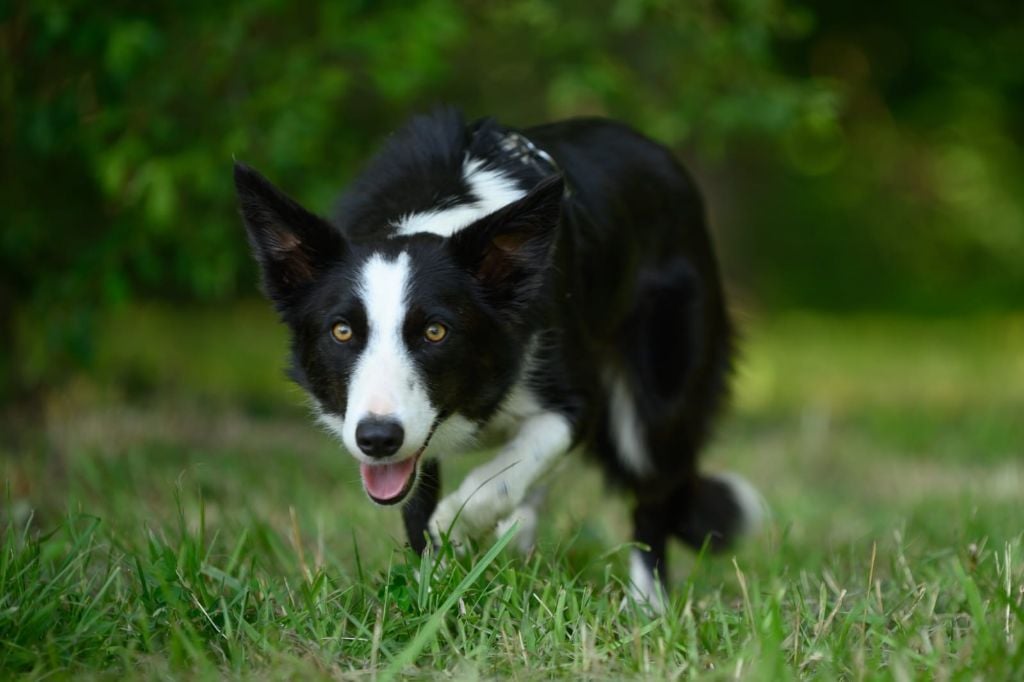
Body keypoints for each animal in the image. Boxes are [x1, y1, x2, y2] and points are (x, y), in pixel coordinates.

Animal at [232, 109, 761, 606]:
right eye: (342, 331)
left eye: (436, 331)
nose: (377, 439)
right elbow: (423, 503)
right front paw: (434, 599)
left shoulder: (576, 402)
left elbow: (506, 474)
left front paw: (458, 524)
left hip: (660, 389)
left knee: (650, 497)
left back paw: (646, 606)